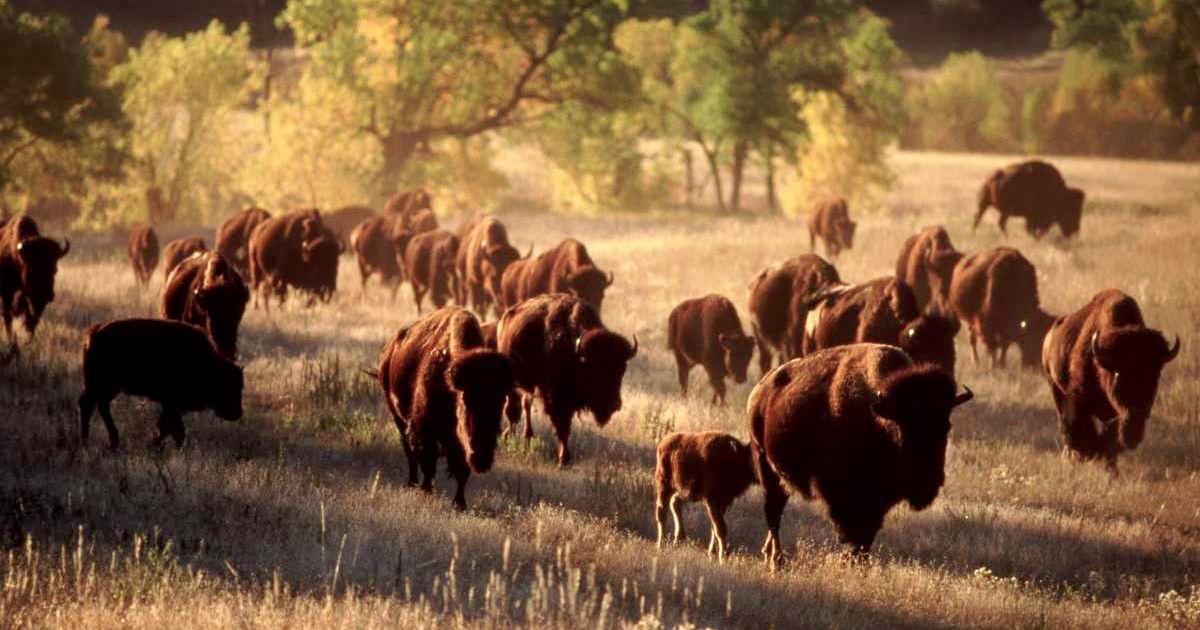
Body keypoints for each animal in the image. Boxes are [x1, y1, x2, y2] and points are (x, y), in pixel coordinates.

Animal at [78, 318, 244, 449]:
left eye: (240, 386)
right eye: (227, 386)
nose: (237, 413)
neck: (209, 365)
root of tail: (93, 332)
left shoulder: (171, 406)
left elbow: (169, 427)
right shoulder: (171, 403)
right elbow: (172, 428)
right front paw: (159, 446)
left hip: (108, 387)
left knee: (97, 405)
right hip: (101, 385)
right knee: (90, 405)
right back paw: (98, 441)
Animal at [374, 306, 514, 509]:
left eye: (501, 401)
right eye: (465, 399)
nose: (482, 458)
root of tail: (390, 349)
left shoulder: (459, 444)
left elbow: (461, 471)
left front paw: (460, 504)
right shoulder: (424, 429)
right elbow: (428, 463)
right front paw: (426, 491)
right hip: (398, 417)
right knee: (410, 452)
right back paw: (412, 484)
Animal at [497, 294, 637, 466]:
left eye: (622, 369)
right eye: (595, 369)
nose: (614, 404)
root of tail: (505, 318)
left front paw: (565, 458)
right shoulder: (557, 399)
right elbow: (562, 426)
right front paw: (563, 459)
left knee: (525, 405)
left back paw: (524, 436)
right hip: (514, 382)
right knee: (513, 409)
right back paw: (509, 436)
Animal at [749, 344, 973, 564]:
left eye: (946, 427)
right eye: (902, 428)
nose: (927, 483)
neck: (876, 418)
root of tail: (760, 390)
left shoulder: (876, 500)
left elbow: (866, 535)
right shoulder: (841, 495)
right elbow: (852, 533)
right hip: (765, 466)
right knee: (773, 515)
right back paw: (776, 561)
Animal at [1042, 289, 1180, 473]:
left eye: (1155, 375)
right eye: (1118, 373)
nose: (1133, 432)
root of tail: (1050, 335)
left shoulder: (1114, 416)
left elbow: (1110, 439)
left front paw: (1109, 467)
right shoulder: (1079, 399)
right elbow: (1081, 427)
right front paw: (1085, 454)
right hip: (1055, 386)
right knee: (1065, 422)